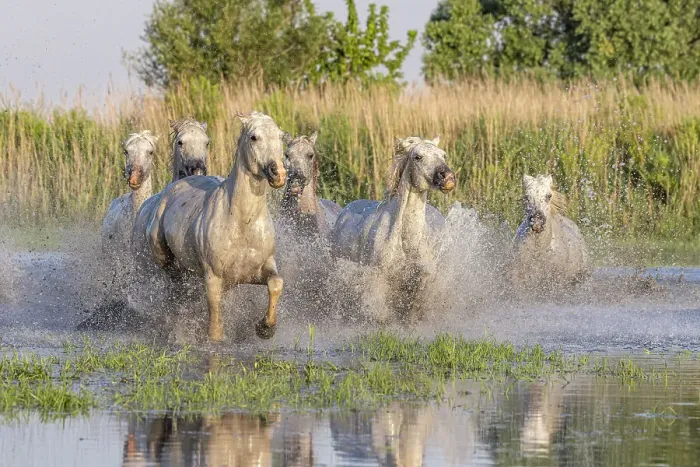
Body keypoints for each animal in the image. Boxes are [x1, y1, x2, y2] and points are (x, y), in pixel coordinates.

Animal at [132, 111, 287, 342]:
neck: (242, 222)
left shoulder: (259, 269)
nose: (279, 174)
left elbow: (276, 283)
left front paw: (265, 328)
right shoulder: (213, 277)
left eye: (280, 136)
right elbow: (214, 324)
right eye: (254, 137)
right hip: (165, 259)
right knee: (175, 285)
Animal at [330, 136, 455, 320]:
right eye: (417, 157)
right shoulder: (379, 280)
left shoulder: (422, 282)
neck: (406, 239)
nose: (447, 177)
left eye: (443, 155)